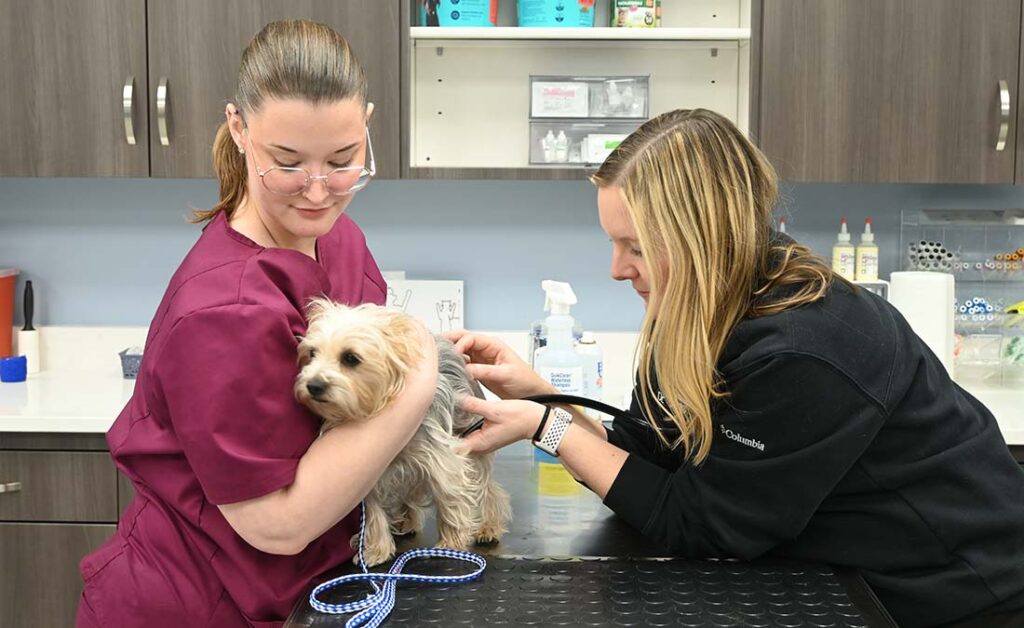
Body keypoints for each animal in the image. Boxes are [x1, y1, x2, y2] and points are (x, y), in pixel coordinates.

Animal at [294, 297, 509, 565]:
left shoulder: (442, 459)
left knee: (487, 488)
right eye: (311, 353)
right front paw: (375, 550)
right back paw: (406, 522)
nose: (313, 385)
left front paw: (451, 543)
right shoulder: (367, 471)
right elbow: (373, 511)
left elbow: (449, 496)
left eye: (350, 358)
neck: (371, 409)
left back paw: (488, 527)